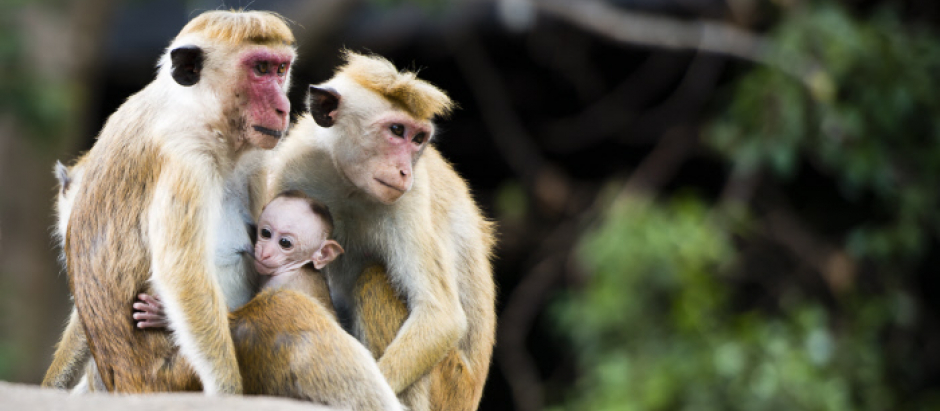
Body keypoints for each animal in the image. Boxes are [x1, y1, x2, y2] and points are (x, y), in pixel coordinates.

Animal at [41, 10, 294, 396]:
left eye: (281, 69)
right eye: (260, 68)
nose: (284, 107)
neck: (189, 105)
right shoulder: (189, 155)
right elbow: (182, 273)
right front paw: (227, 392)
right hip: (172, 376)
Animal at [130, 192, 402, 410]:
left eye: (285, 243)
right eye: (266, 233)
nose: (265, 252)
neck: (296, 267)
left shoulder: (284, 284)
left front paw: (164, 317)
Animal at [266, 52, 500, 411]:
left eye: (417, 139)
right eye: (396, 130)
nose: (404, 171)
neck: (349, 185)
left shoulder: (411, 197)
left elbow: (441, 317)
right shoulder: (290, 168)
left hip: (451, 385)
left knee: (375, 279)